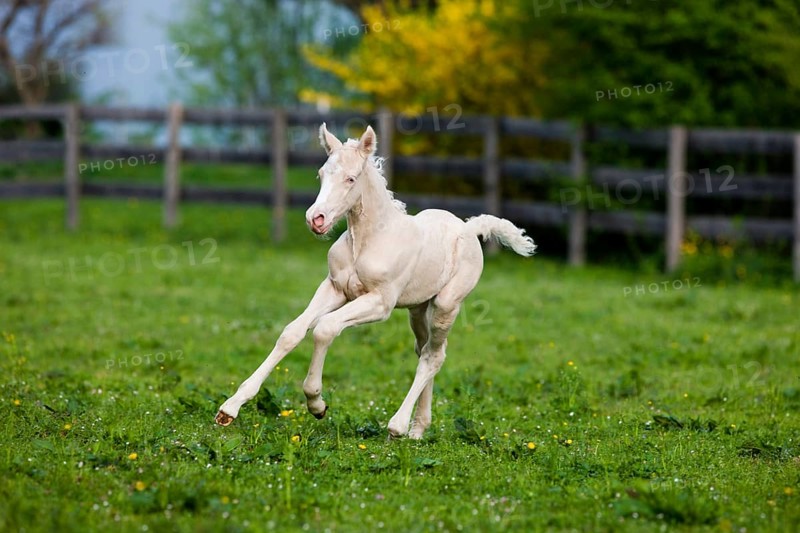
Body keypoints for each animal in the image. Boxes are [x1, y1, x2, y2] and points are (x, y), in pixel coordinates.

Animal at [215, 123, 536, 439]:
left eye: (351, 178)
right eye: (321, 174)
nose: (316, 219)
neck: (367, 240)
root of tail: (470, 229)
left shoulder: (380, 303)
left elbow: (325, 328)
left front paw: (316, 403)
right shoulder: (334, 288)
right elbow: (292, 332)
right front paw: (231, 407)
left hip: (447, 304)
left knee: (434, 356)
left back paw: (399, 426)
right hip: (418, 308)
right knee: (425, 350)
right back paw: (418, 428)